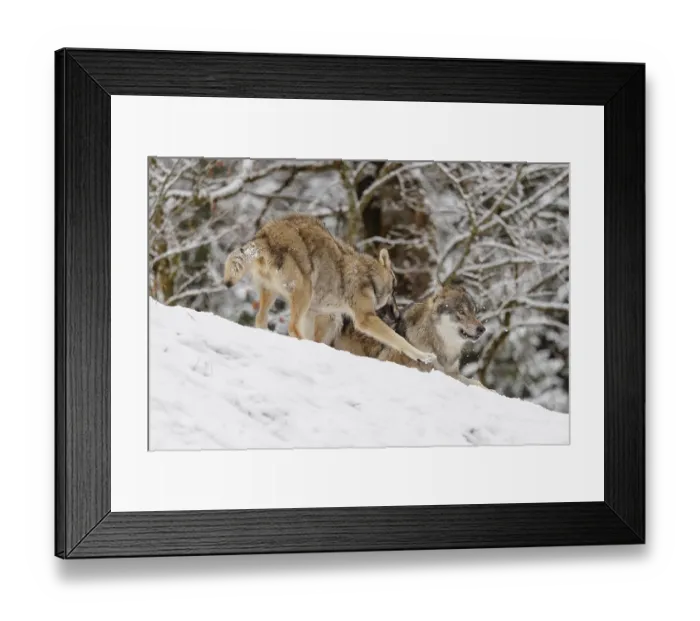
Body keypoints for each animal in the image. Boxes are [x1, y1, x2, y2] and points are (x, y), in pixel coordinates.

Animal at [223, 214, 437, 364]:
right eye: (394, 289)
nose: (399, 316)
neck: (369, 276)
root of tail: (265, 235)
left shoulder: (315, 313)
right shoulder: (365, 318)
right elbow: (399, 340)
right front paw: (423, 356)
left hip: (275, 295)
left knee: (261, 320)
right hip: (304, 292)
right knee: (292, 328)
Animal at [315, 284, 486, 387]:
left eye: (474, 312)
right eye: (461, 312)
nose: (482, 329)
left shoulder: (452, 372)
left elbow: (477, 384)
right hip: (334, 318)